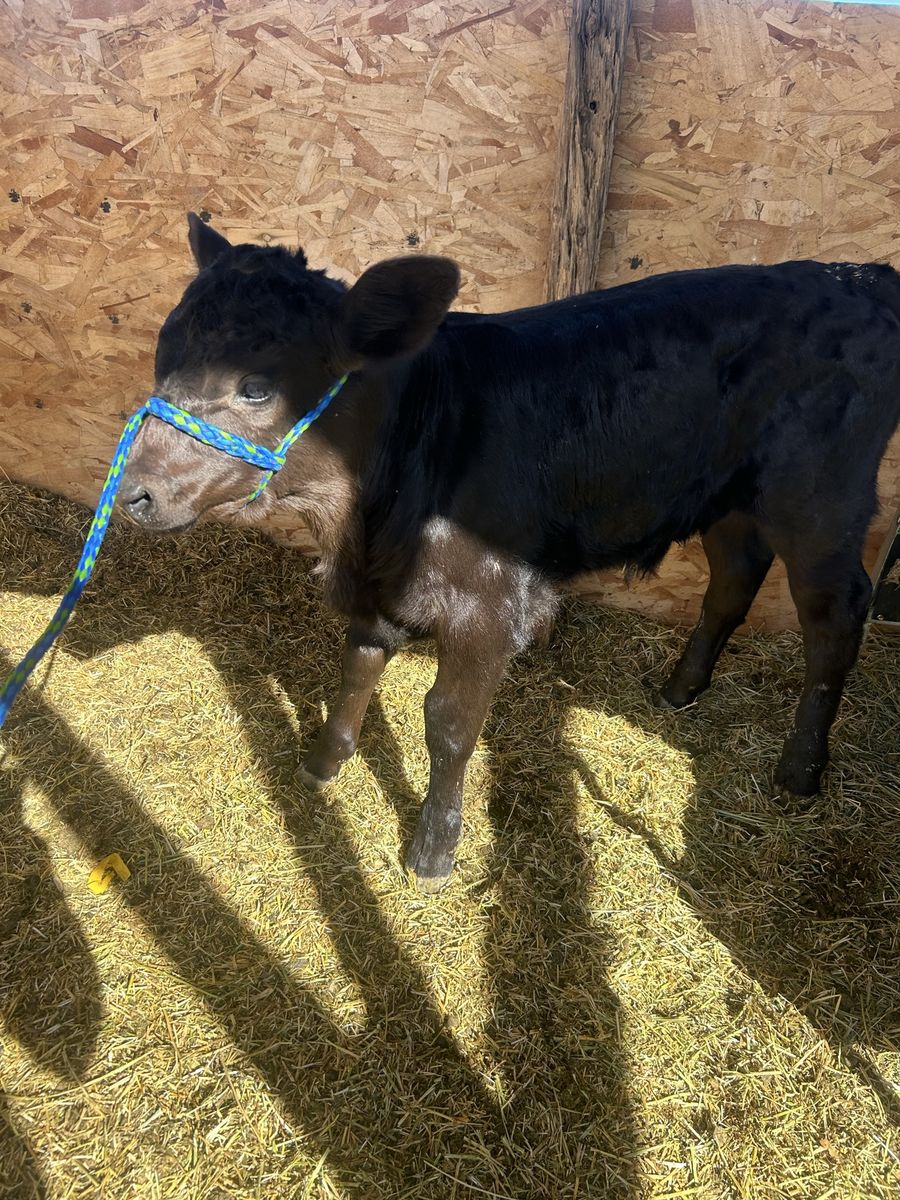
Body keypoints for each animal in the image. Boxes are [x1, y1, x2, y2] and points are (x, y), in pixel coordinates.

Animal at [121, 214, 900, 890]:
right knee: (735, 576)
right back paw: (680, 690)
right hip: (729, 495)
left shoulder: (488, 605)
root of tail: (860, 277)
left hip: (821, 498)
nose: (133, 493)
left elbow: (448, 724)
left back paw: (799, 769)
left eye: (257, 386)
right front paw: (323, 763)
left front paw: (433, 849)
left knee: (835, 615)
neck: (368, 522)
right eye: (161, 353)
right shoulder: (382, 586)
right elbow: (357, 666)